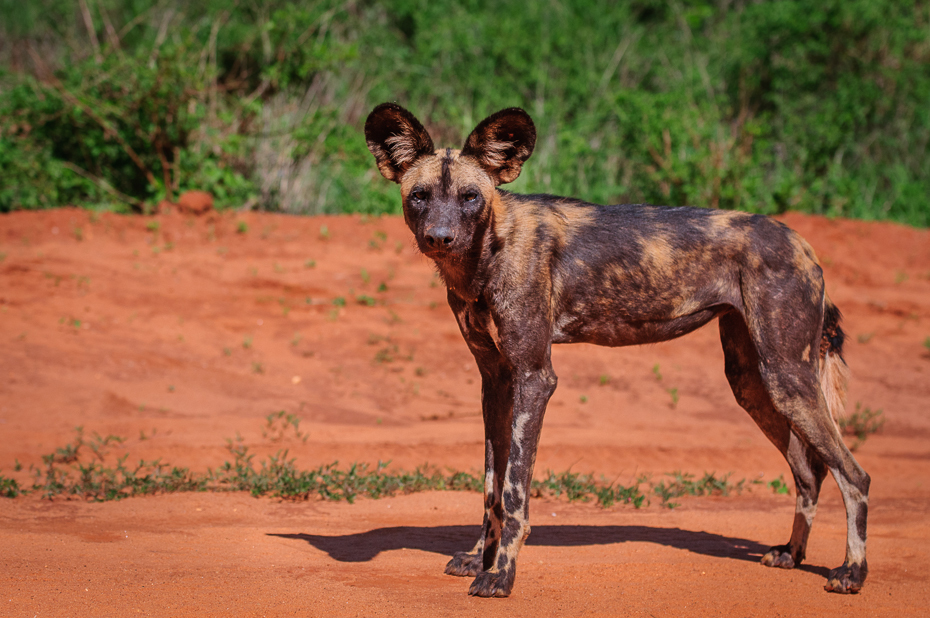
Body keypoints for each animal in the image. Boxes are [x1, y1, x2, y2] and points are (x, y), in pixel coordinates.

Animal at [364, 102, 872, 596]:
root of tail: (802, 243)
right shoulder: (497, 382)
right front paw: (477, 559)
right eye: (419, 196)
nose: (439, 237)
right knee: (809, 472)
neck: (487, 253)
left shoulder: (534, 378)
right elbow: (491, 485)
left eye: (470, 197)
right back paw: (792, 553)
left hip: (787, 378)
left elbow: (514, 491)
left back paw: (852, 572)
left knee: (854, 475)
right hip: (754, 384)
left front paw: (500, 576)